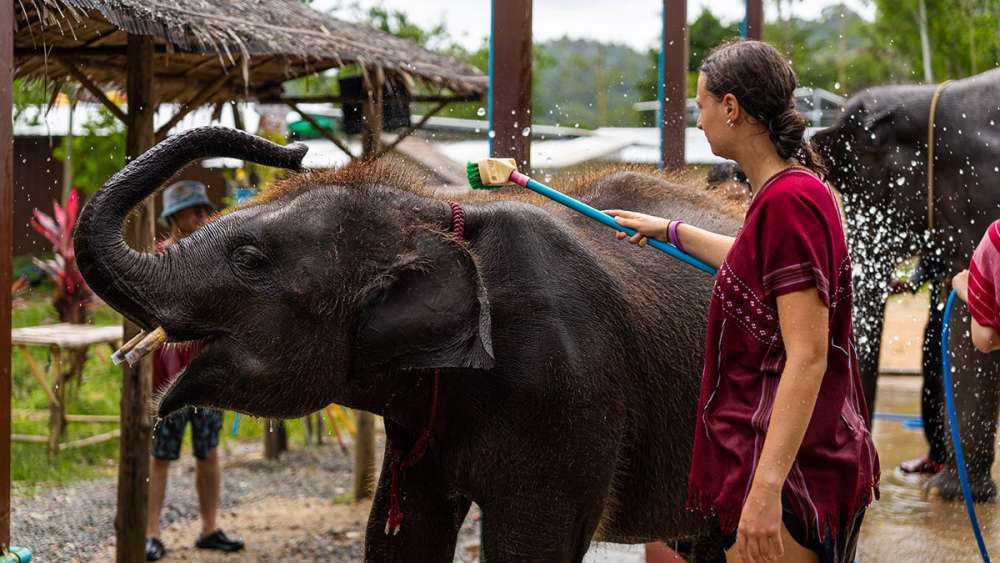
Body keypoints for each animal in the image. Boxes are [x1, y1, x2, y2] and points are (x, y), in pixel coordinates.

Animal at [74, 129, 740, 563]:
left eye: (248, 259)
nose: (296, 149)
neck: (436, 211)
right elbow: (401, 537)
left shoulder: (571, 391)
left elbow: (534, 545)